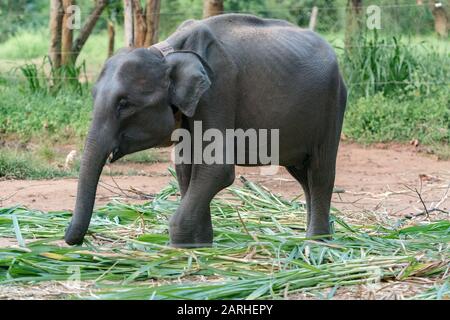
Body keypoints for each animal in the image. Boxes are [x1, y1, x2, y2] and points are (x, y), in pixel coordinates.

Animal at [64, 13, 348, 248]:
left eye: (124, 104)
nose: (69, 236)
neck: (167, 53)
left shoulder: (218, 90)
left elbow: (216, 168)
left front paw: (180, 246)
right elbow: (186, 168)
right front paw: (200, 244)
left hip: (333, 104)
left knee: (320, 172)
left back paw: (316, 244)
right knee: (303, 175)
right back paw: (316, 238)